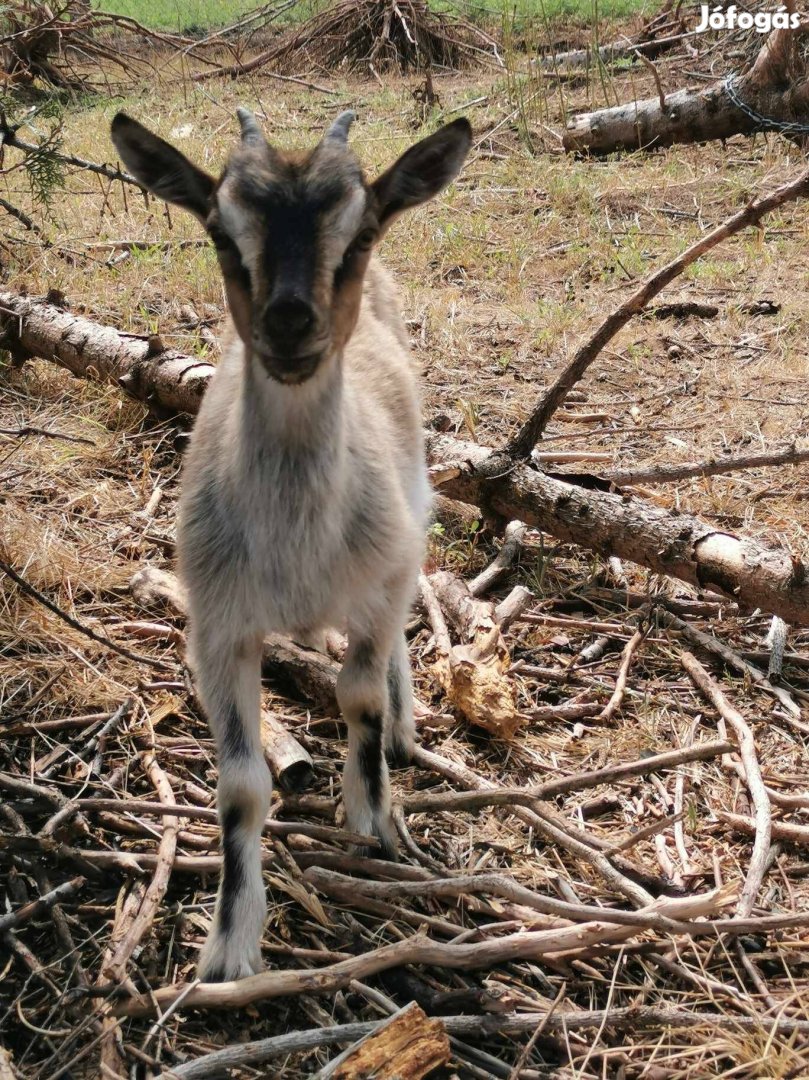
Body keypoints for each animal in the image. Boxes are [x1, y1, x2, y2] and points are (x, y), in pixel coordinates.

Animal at [110, 107, 470, 980]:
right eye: (220, 232)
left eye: (360, 230)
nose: (288, 322)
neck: (297, 547)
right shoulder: (219, 627)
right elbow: (240, 785)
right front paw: (228, 948)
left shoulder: (375, 585)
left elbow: (360, 696)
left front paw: (373, 818)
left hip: (409, 516)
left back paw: (404, 729)